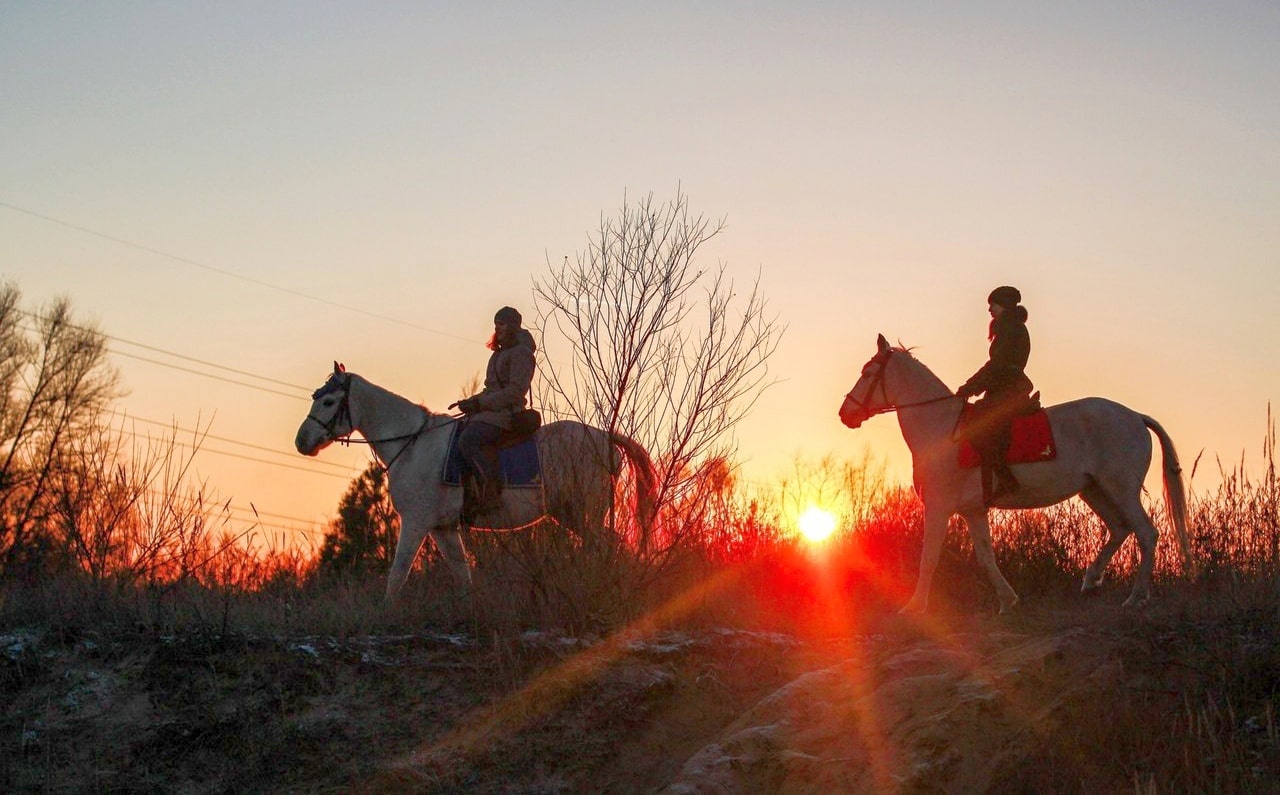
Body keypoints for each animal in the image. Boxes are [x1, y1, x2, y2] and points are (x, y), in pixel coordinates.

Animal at [294, 363, 655, 601]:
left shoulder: (415, 522)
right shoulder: (442, 528)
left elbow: (397, 575)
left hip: (582, 512)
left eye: (328, 401)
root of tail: (607, 438)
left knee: (609, 544)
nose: (302, 442)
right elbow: (462, 573)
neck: (413, 444)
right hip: (571, 514)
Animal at [839, 335, 1187, 614]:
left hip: (1121, 489)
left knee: (1146, 533)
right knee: (1119, 528)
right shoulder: (973, 510)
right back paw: (1090, 580)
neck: (941, 429)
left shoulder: (939, 507)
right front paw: (1008, 600)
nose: (845, 414)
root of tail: (1135, 417)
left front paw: (914, 607)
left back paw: (1136, 597)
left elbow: (929, 558)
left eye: (867, 373)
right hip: (1094, 489)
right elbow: (985, 556)